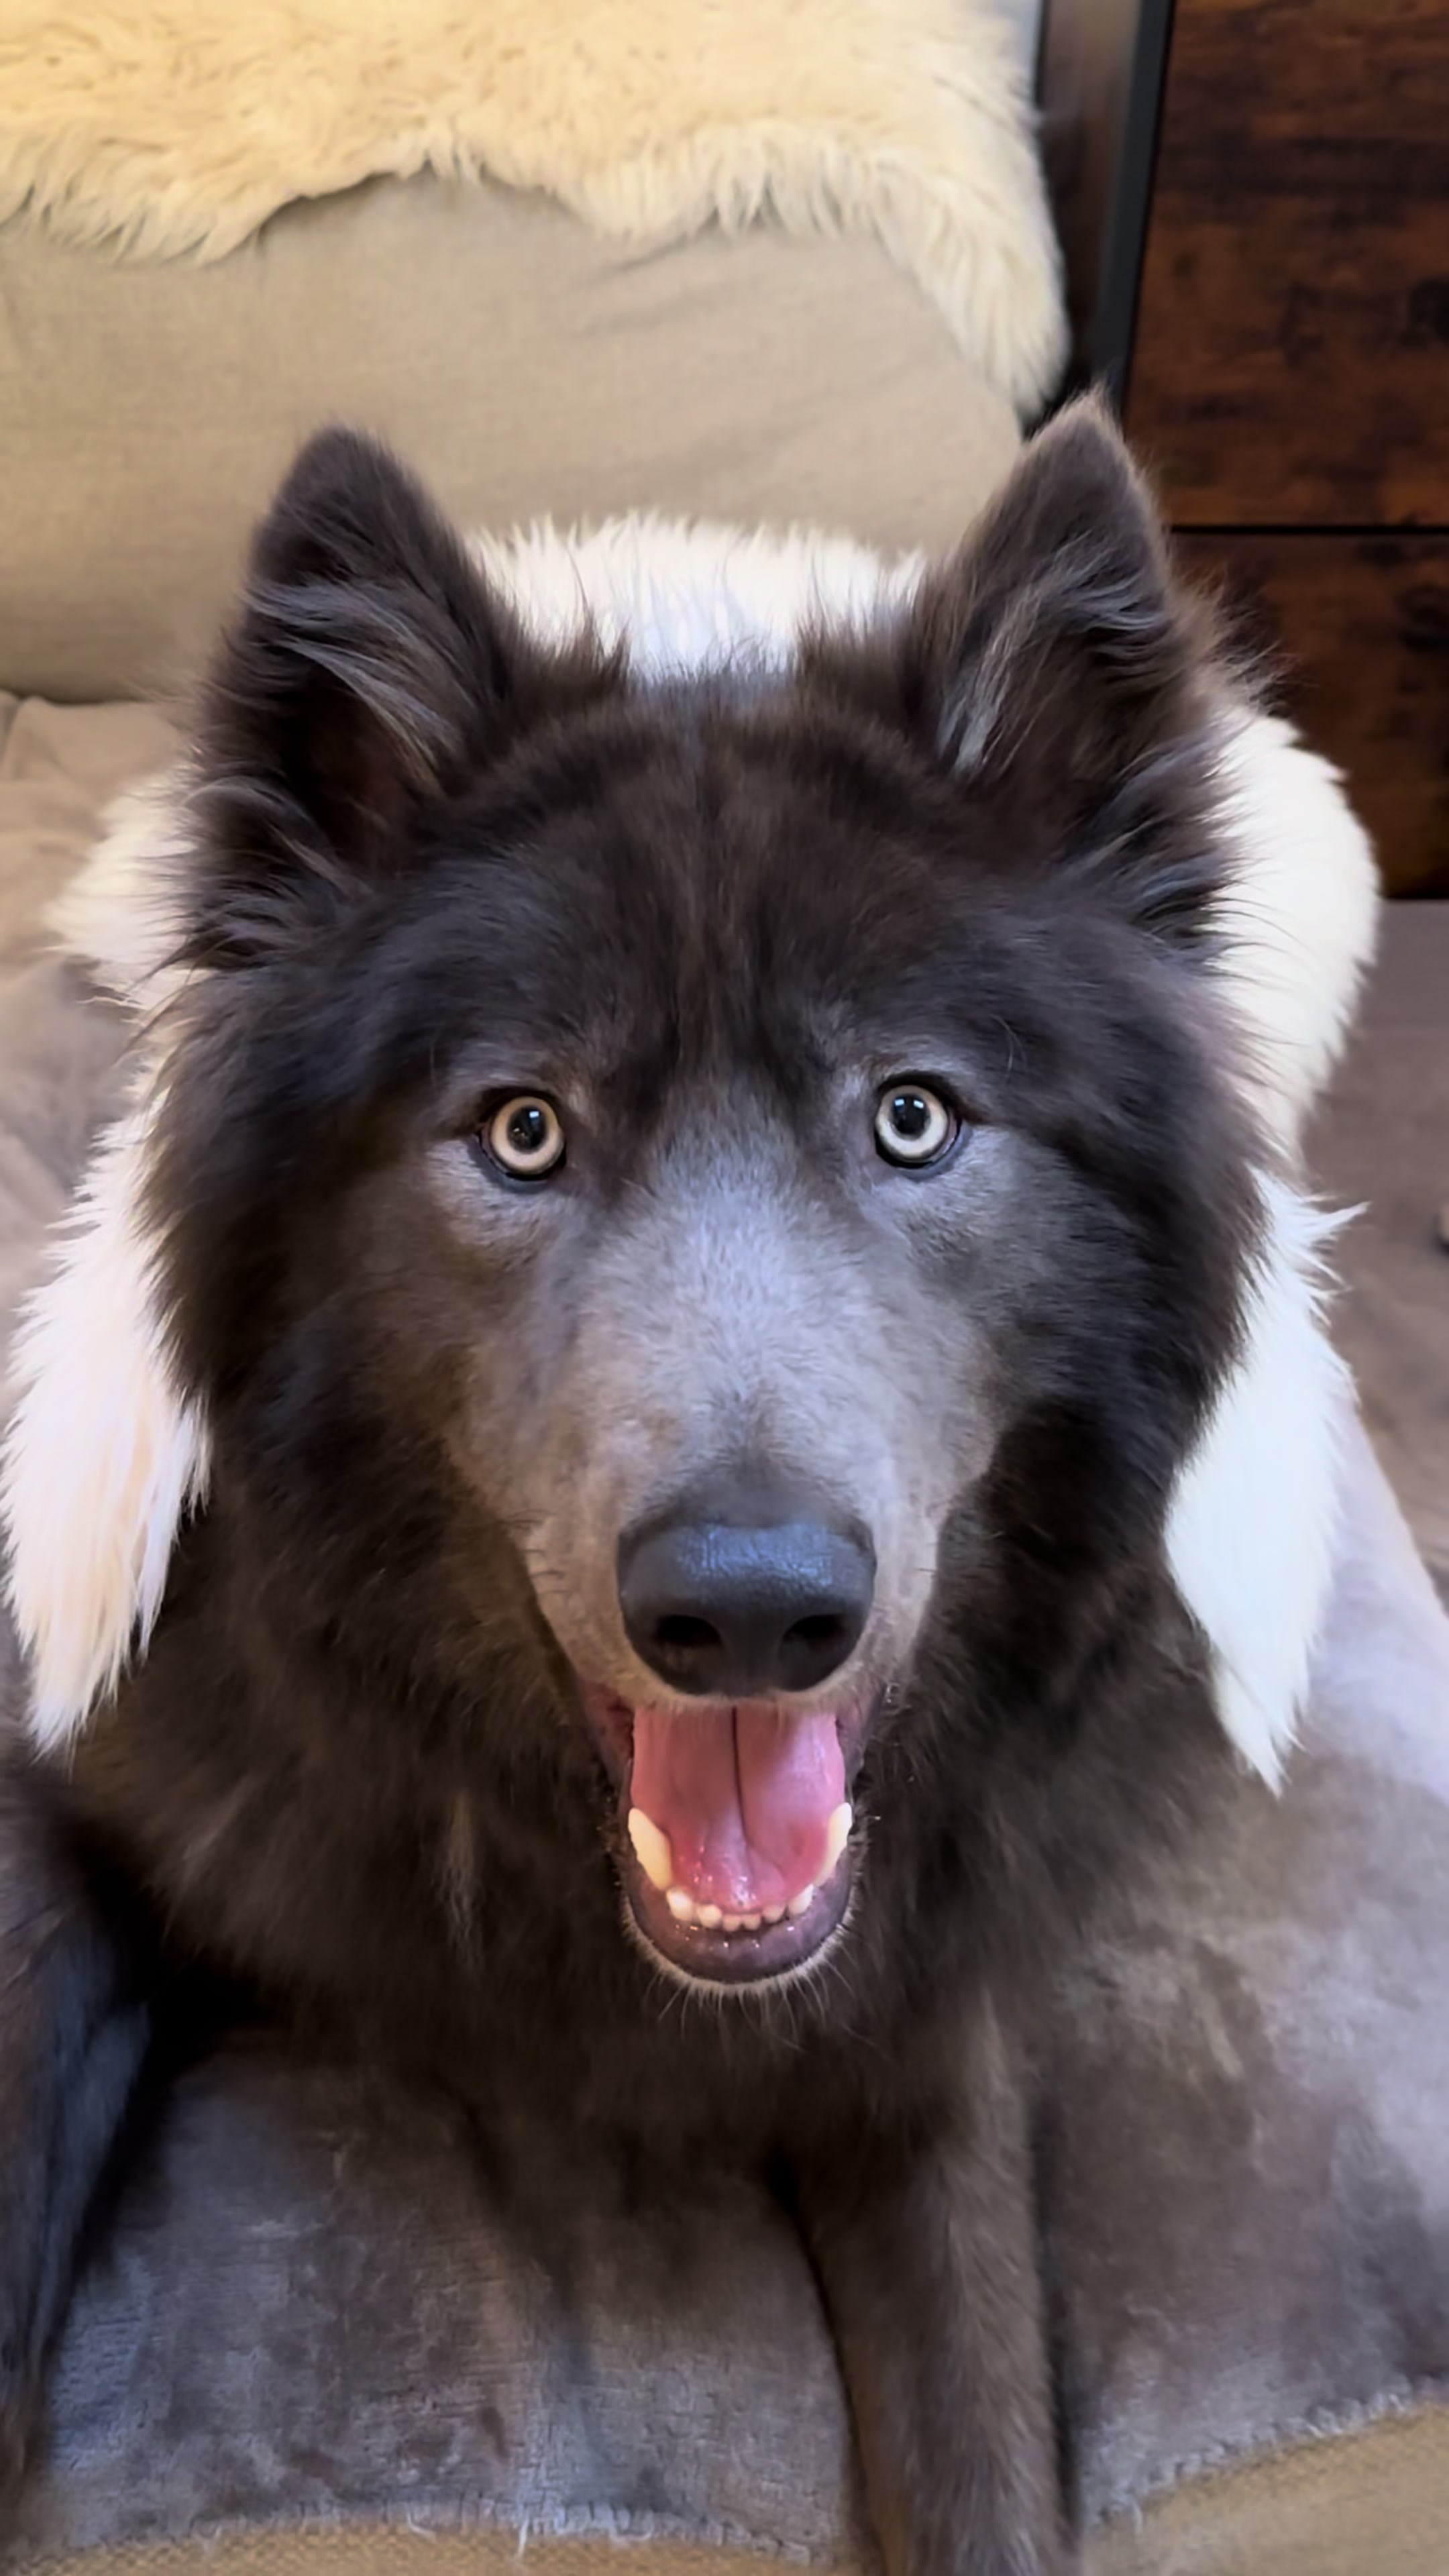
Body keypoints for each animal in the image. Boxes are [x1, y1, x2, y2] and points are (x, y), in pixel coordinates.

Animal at [0, 402, 1375, 2570]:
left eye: (914, 1117)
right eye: (523, 1130)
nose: (748, 1612)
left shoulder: (926, 2028)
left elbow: (985, 2445)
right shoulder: (71, 1800)